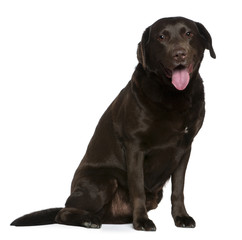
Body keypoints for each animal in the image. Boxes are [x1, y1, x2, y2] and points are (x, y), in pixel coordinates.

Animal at [10, 16, 216, 231]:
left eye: (189, 34)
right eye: (161, 37)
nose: (179, 54)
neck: (173, 96)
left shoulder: (185, 148)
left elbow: (178, 189)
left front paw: (181, 217)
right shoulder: (135, 147)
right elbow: (137, 188)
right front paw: (141, 221)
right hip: (104, 181)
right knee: (63, 212)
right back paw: (89, 219)